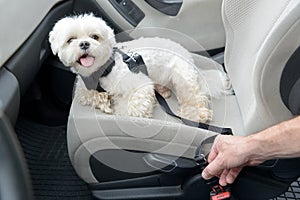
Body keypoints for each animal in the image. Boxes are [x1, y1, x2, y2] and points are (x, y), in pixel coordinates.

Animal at [49, 13, 232, 122]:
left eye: (95, 37)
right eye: (71, 40)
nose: (84, 44)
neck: (102, 70)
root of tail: (190, 58)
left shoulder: (139, 86)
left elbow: (130, 109)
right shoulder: (83, 89)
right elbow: (89, 95)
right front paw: (104, 101)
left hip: (182, 77)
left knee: (195, 98)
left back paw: (196, 114)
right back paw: (162, 91)